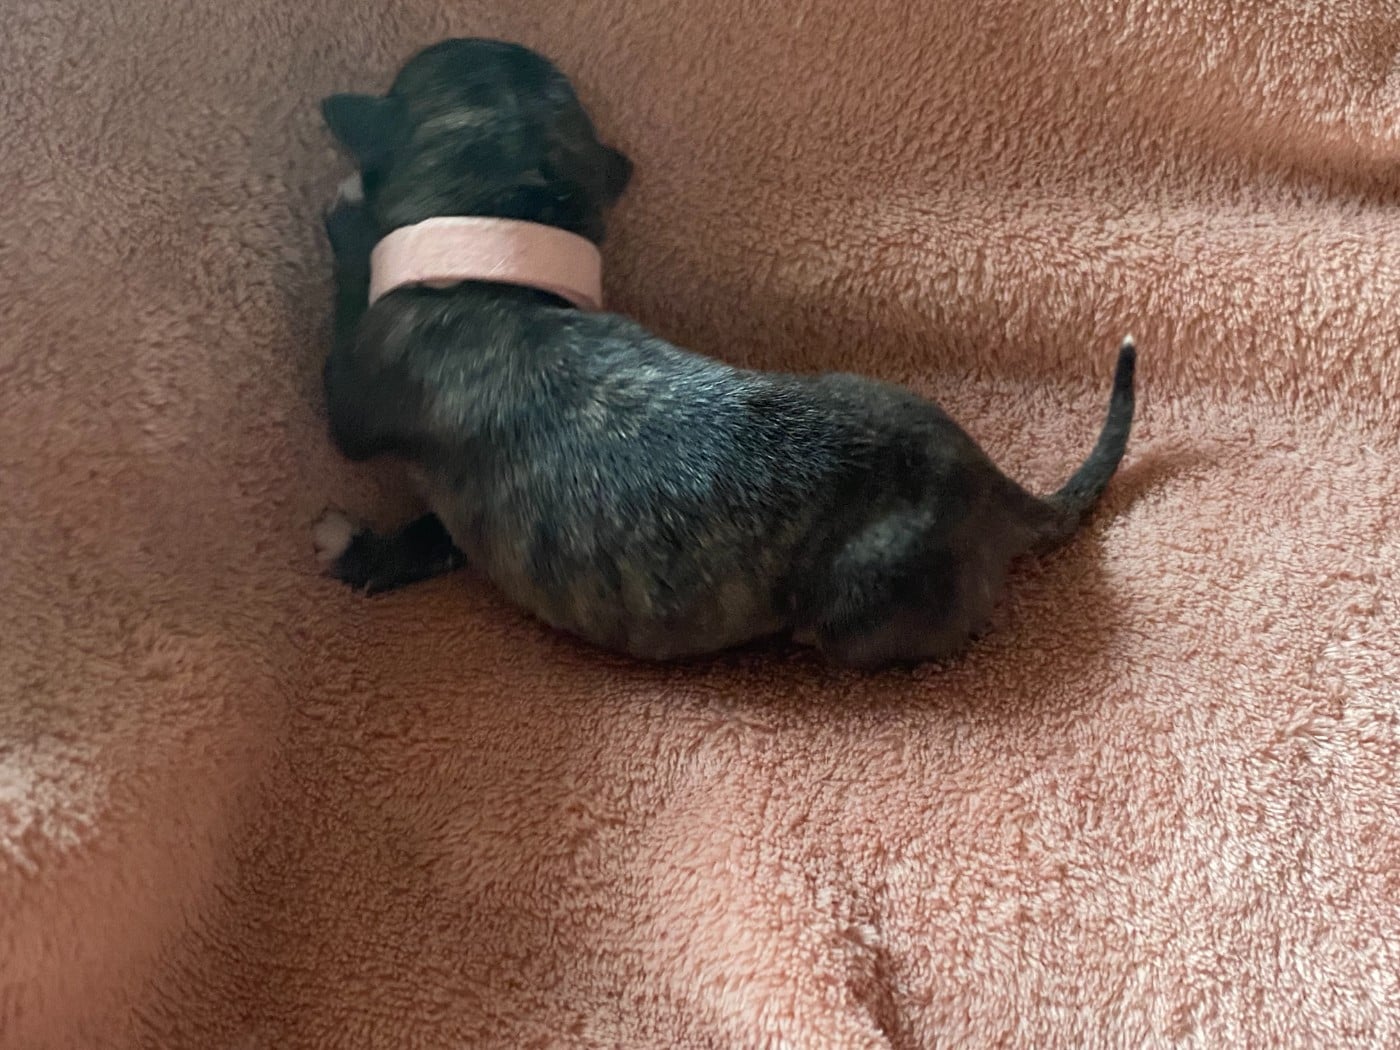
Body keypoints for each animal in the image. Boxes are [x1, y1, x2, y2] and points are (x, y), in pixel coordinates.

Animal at [313, 37, 1136, 668]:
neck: (505, 261)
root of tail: (991, 485)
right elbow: (433, 536)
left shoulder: (366, 379)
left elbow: (349, 335)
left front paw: (348, 215)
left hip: (859, 608)